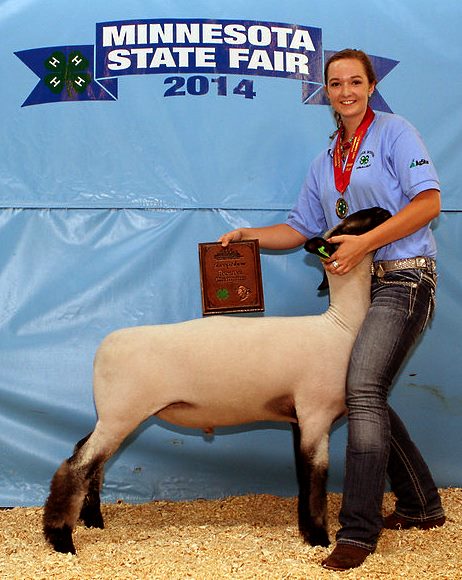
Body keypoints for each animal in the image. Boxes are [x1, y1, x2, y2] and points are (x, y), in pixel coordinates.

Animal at [42, 207, 390, 552]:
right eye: (349, 225)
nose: (383, 210)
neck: (341, 326)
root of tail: (104, 346)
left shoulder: (298, 419)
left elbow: (304, 477)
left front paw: (308, 531)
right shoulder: (315, 413)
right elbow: (316, 477)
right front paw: (318, 538)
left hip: (113, 414)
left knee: (87, 456)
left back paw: (93, 520)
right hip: (121, 414)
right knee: (77, 467)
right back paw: (61, 539)